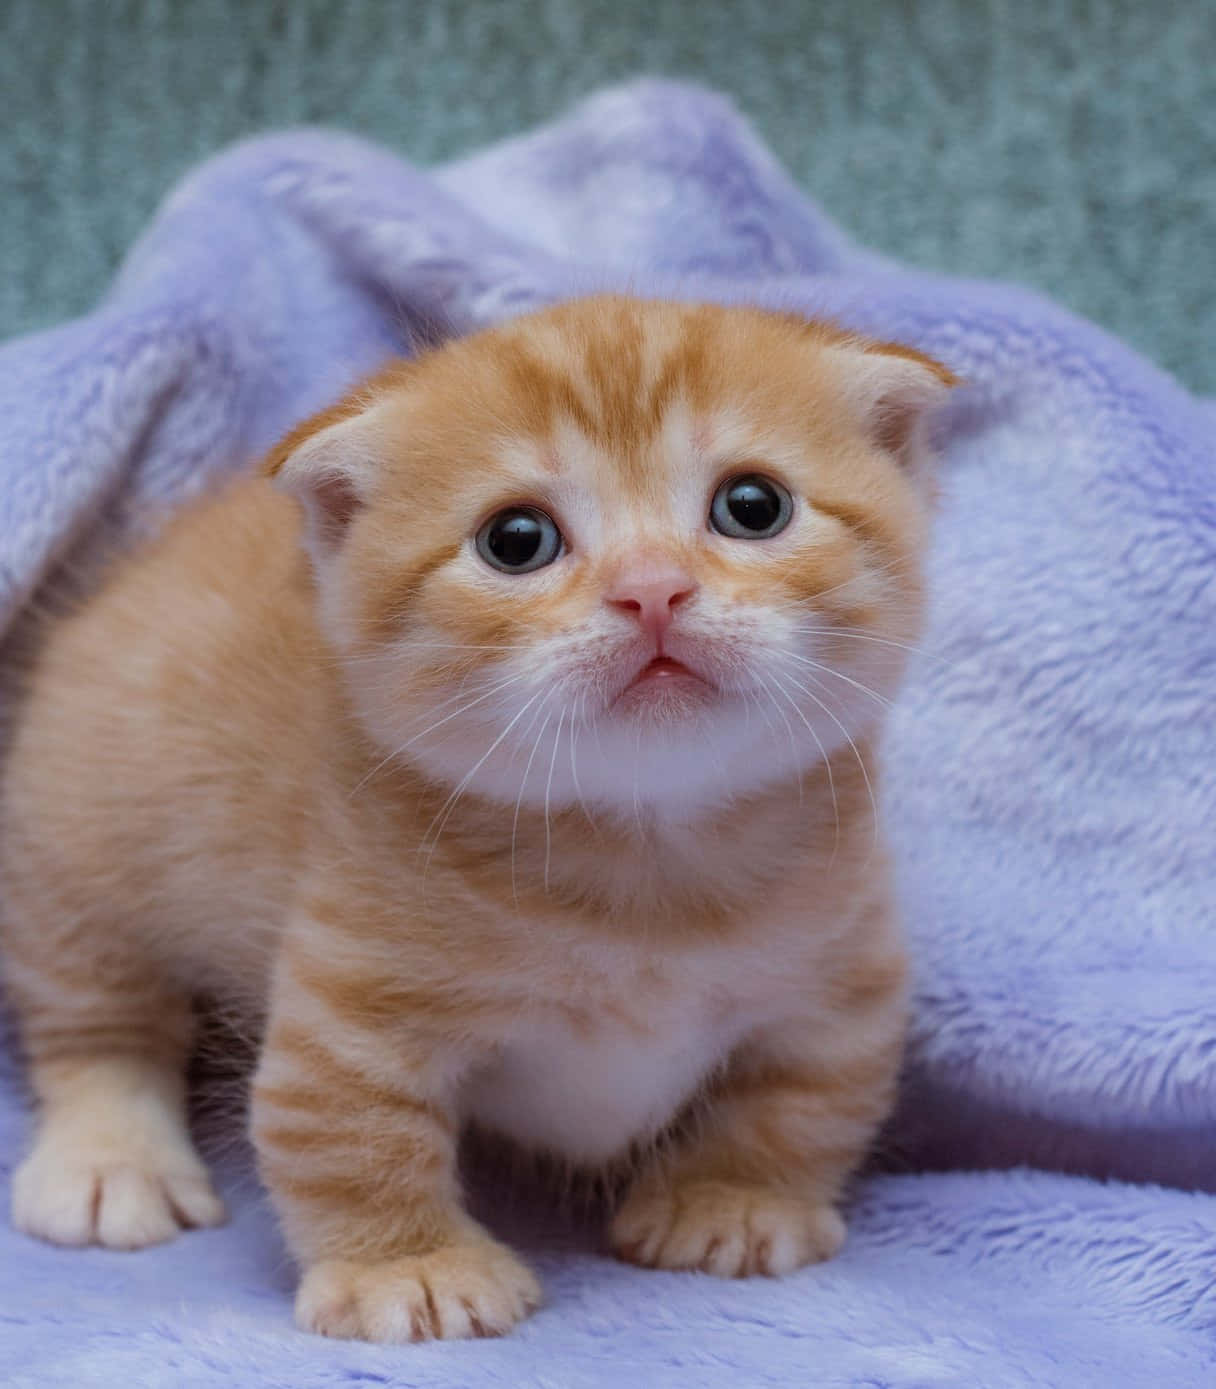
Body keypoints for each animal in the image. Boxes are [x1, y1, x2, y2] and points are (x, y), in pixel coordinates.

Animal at [0, 295, 950, 1344]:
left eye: (753, 506)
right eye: (516, 539)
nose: (652, 587)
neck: (647, 863)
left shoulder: (844, 978)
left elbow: (802, 1101)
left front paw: (736, 1200)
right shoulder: (353, 995)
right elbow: (348, 1128)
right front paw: (409, 1266)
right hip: (74, 841)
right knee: (99, 1026)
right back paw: (109, 1159)